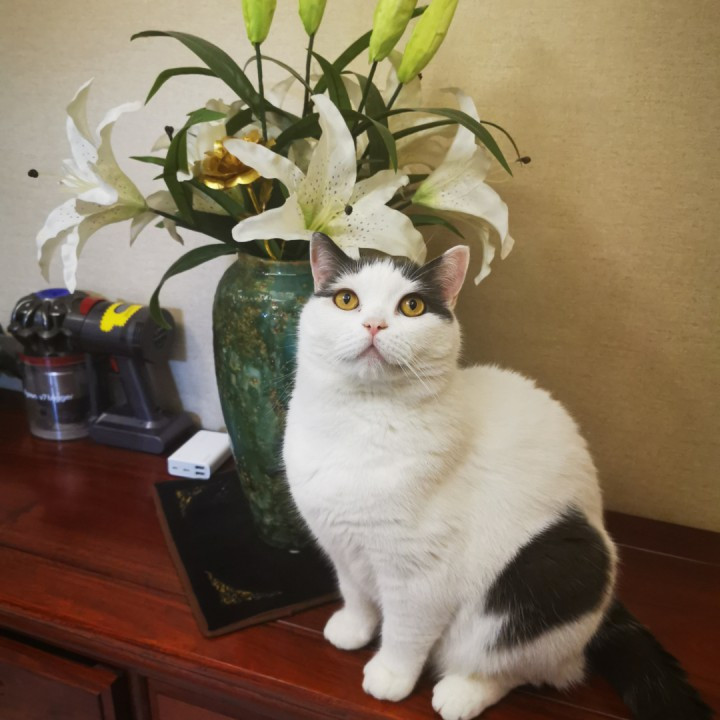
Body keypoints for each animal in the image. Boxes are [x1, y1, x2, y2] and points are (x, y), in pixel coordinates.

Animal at [282, 232, 712, 720]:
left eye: (411, 306)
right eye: (347, 299)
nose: (374, 324)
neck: (359, 422)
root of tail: (603, 615)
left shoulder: (421, 577)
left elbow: (406, 633)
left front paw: (391, 676)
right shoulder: (341, 544)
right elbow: (354, 591)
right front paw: (353, 628)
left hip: (554, 569)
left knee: (521, 666)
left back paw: (459, 693)